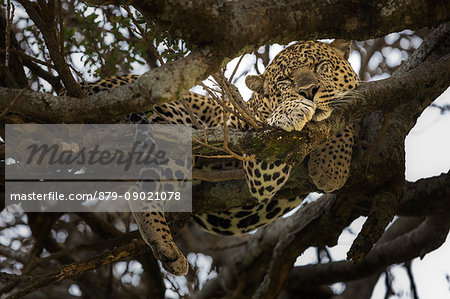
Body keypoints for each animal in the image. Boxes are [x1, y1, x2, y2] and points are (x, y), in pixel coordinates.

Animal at [67, 39, 360, 276]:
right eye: (284, 83)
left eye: (321, 65)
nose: (308, 91)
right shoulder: (253, 157)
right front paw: (294, 113)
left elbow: (346, 113)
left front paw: (330, 165)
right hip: (175, 122)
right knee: (143, 191)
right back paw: (167, 248)